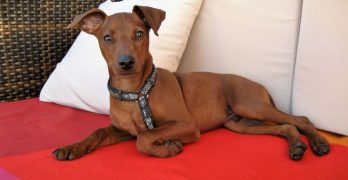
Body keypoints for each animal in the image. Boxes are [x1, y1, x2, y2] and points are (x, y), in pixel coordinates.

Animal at [53, 5, 330, 160]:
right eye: (107, 38)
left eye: (139, 34)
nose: (126, 63)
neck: (136, 92)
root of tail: (258, 85)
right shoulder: (122, 129)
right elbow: (99, 131)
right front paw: (72, 147)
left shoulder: (186, 124)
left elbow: (145, 138)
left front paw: (167, 147)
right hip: (240, 124)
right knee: (286, 126)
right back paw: (296, 146)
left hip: (250, 105)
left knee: (301, 119)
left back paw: (318, 142)